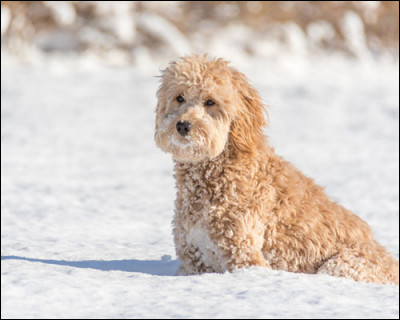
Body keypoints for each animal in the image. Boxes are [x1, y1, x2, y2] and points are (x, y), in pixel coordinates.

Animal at [154, 53, 400, 284]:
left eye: (210, 102)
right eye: (179, 98)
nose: (182, 125)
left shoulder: (243, 253)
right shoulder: (193, 256)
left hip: (342, 265)